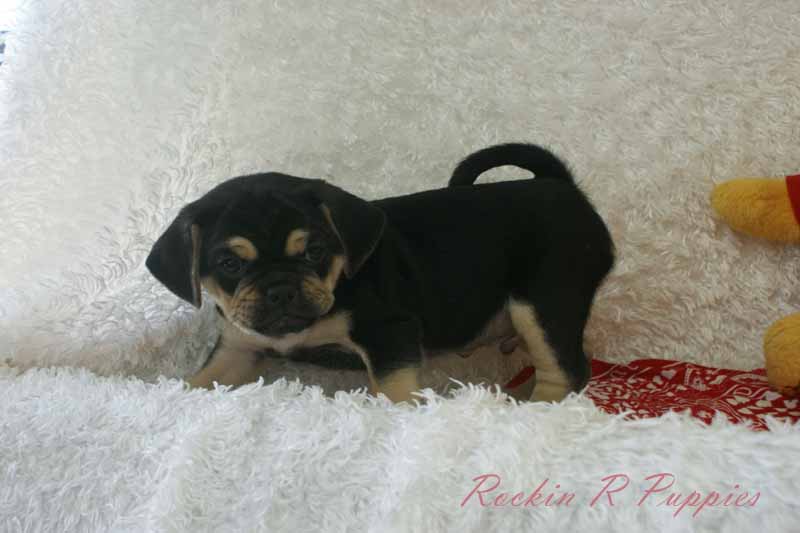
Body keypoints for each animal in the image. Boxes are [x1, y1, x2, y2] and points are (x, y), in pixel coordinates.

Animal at [146, 143, 614, 402]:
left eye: (314, 251)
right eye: (229, 264)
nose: (280, 289)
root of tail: (561, 184)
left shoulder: (389, 333)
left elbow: (394, 389)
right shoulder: (238, 349)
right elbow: (202, 380)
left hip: (544, 302)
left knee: (566, 371)